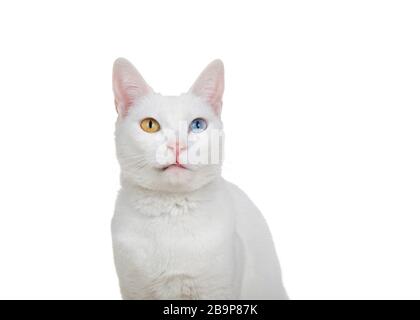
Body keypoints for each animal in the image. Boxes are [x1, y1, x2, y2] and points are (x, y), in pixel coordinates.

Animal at [110, 58, 288, 300]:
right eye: (150, 125)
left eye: (198, 125)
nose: (177, 146)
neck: (172, 212)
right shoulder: (133, 290)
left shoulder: (218, 290)